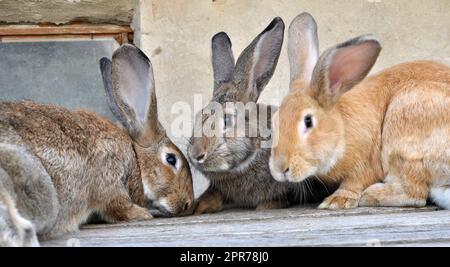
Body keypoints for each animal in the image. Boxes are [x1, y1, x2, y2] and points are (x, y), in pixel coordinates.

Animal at [268, 13, 448, 211]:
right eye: (274, 121)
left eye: (308, 121)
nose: (280, 168)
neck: (342, 129)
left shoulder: (366, 163)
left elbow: (355, 181)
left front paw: (336, 201)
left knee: (415, 194)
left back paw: (371, 195)